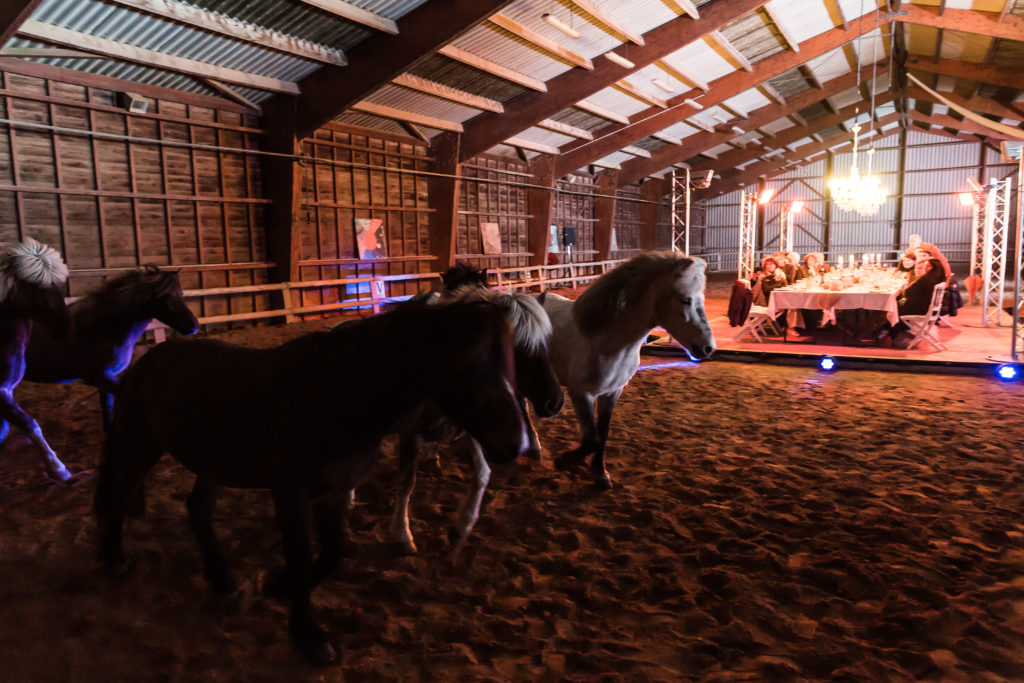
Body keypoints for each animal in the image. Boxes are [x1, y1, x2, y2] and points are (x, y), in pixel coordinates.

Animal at [0, 239, 72, 481]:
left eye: (60, 285)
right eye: (34, 287)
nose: (64, 329)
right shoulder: (0, 393)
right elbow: (30, 424)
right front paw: (58, 468)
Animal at [23, 264, 197, 430]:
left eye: (181, 293)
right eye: (164, 296)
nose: (193, 326)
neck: (102, 328)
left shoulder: (105, 380)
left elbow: (107, 412)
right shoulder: (98, 377)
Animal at [95, 299, 528, 663]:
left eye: (509, 361)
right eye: (469, 363)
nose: (517, 443)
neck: (334, 394)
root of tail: (146, 363)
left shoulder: (331, 492)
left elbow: (334, 553)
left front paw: (278, 586)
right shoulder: (290, 491)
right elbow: (302, 554)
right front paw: (308, 634)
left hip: (212, 463)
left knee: (197, 509)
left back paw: (223, 582)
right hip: (139, 445)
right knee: (118, 494)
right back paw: (115, 560)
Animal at [536, 253, 712, 489]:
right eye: (685, 300)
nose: (708, 348)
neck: (606, 340)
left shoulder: (612, 392)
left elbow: (602, 433)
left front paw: (600, 473)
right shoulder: (581, 394)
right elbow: (592, 439)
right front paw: (564, 461)